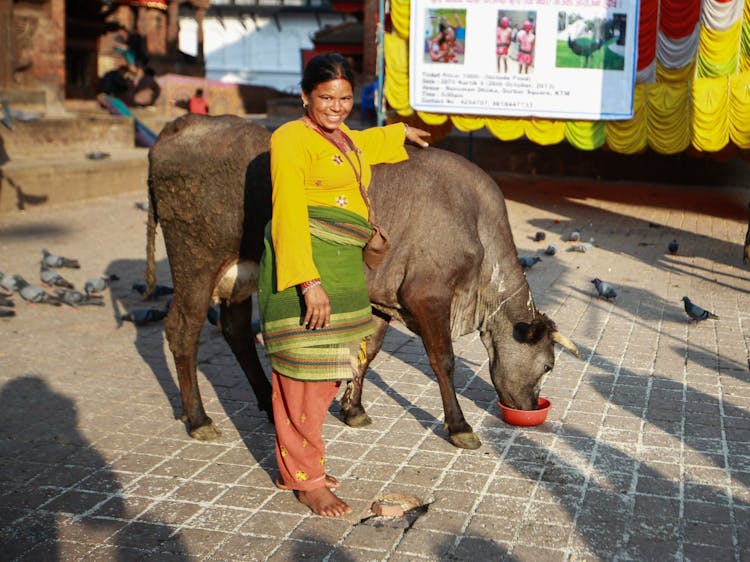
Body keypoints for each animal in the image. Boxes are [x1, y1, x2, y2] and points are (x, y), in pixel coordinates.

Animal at [148, 112, 580, 446]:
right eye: (548, 366)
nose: (530, 406)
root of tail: (183, 124)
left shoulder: (385, 297)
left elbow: (367, 351)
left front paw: (353, 408)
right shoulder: (427, 293)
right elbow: (443, 360)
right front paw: (459, 426)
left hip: (239, 269)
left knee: (236, 329)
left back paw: (266, 401)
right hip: (195, 258)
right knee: (182, 329)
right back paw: (199, 419)